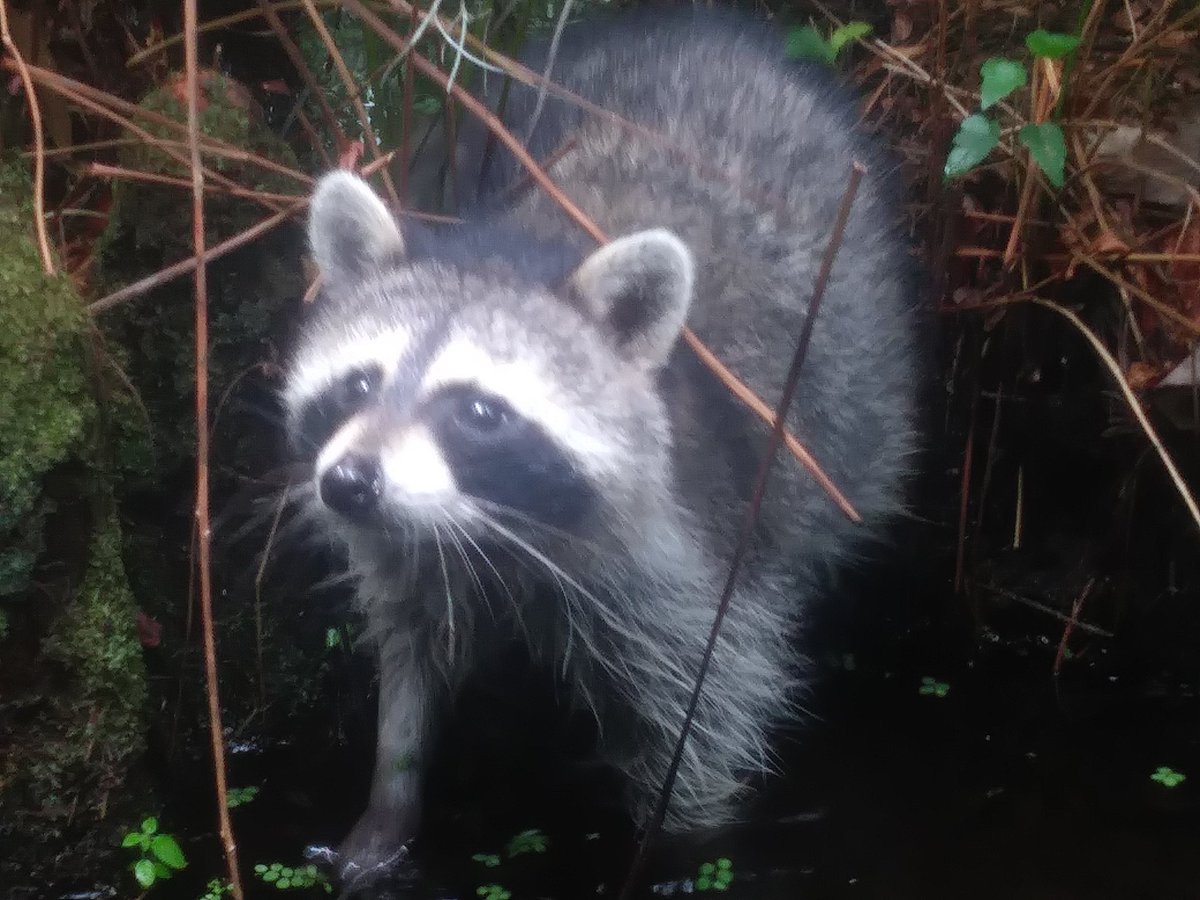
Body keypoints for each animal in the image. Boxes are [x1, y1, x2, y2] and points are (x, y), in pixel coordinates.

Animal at [283, 6, 923, 876]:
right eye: (357, 385)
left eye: (477, 411)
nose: (349, 483)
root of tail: (698, 26)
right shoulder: (407, 551)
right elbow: (410, 658)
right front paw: (388, 806)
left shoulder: (696, 563)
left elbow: (705, 714)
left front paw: (676, 850)